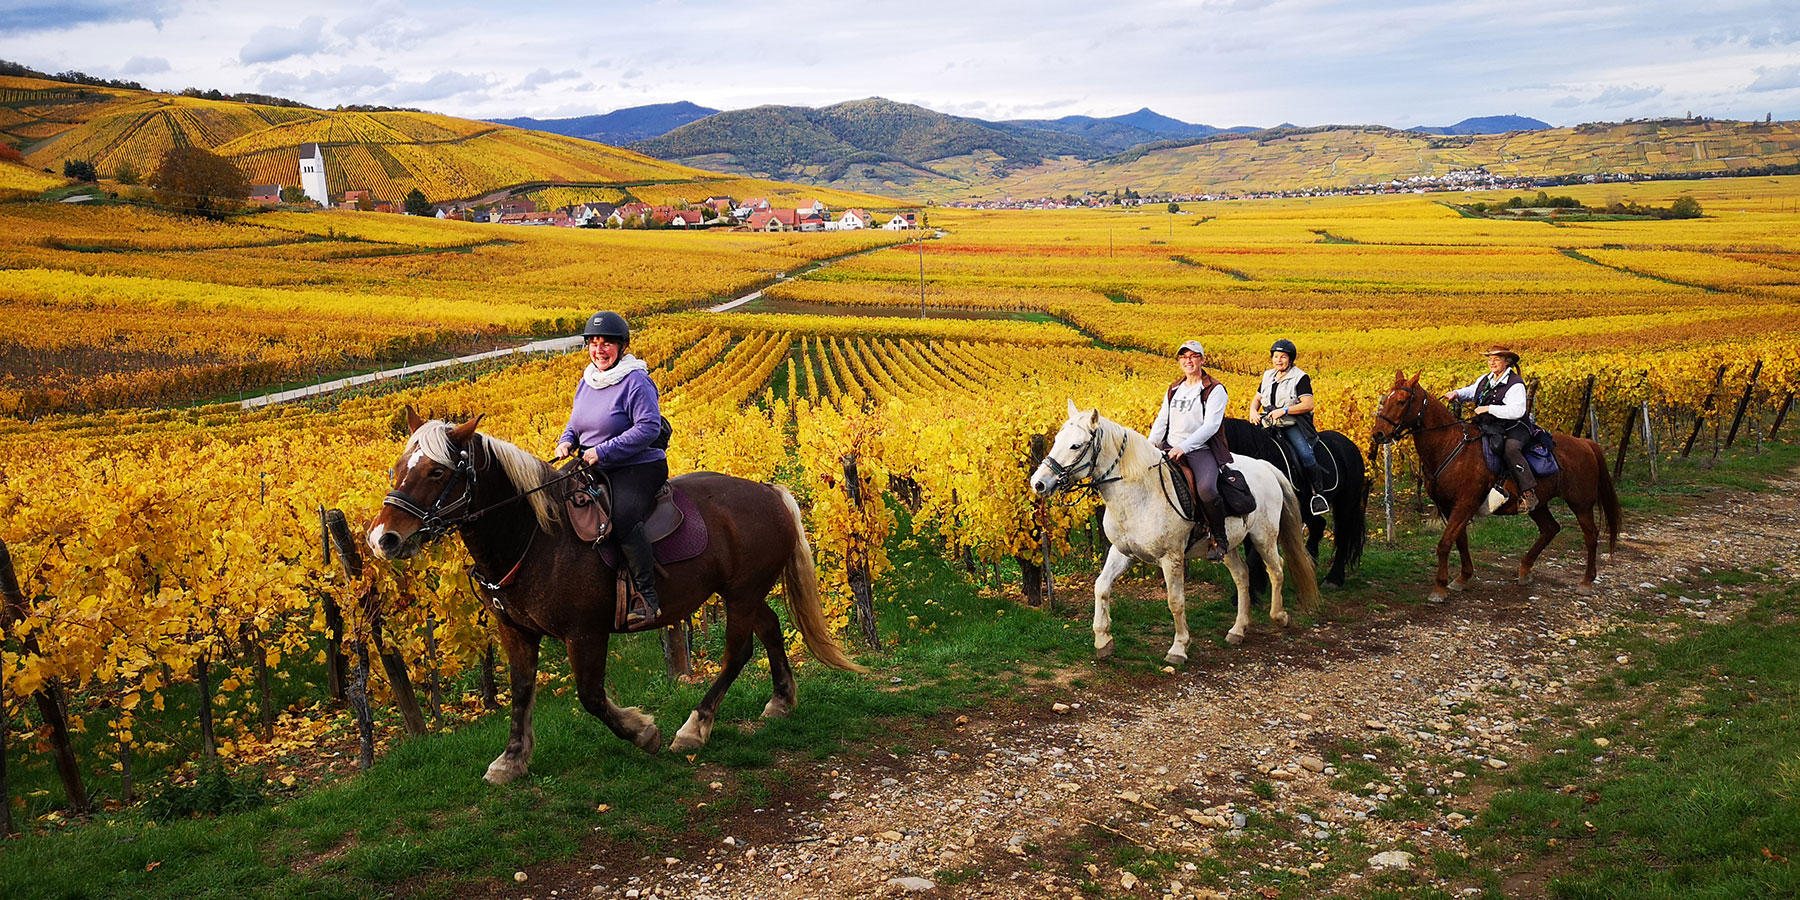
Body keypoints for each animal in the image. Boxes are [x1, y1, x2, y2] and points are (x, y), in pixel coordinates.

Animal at [365, 412, 864, 784]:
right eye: (397, 467)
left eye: (436, 471)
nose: (383, 539)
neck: (536, 536)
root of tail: (769, 491)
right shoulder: (516, 631)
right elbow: (522, 690)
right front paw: (511, 760)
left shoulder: (584, 632)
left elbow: (590, 695)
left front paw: (644, 733)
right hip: (743, 591)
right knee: (771, 628)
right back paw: (780, 701)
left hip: (740, 595)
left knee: (737, 652)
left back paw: (695, 726)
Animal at [1036, 401, 1317, 662]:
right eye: (1057, 439)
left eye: (1076, 446)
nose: (1038, 483)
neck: (1140, 493)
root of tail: (1264, 466)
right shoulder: (1121, 552)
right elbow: (1101, 587)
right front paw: (1103, 641)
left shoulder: (1171, 558)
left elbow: (1175, 601)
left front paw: (1179, 648)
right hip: (1227, 546)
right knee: (1242, 576)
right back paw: (1238, 630)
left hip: (1264, 536)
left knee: (1276, 569)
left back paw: (1279, 616)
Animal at [1224, 415, 1360, 590]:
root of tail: (1349, 445)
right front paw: (1258, 585)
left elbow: (1254, 554)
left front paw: (1252, 590)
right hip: (1306, 508)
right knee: (1319, 525)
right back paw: (1311, 561)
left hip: (1346, 504)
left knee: (1342, 537)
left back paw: (1333, 578)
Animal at [1360, 372, 1620, 604]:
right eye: (1387, 399)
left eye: (1401, 401)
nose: (1378, 433)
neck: (1450, 446)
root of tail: (1586, 443)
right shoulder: (1449, 506)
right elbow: (1459, 540)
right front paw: (1462, 578)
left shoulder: (1464, 504)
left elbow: (1444, 544)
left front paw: (1439, 588)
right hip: (1538, 505)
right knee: (1550, 528)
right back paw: (1525, 570)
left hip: (1581, 503)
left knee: (1590, 535)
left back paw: (1586, 582)